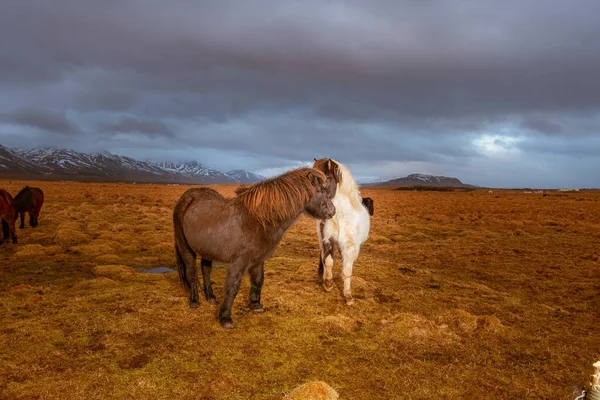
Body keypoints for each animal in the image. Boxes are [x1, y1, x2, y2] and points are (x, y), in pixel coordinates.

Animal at [172, 166, 338, 328]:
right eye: (322, 191)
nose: (333, 211)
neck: (259, 220)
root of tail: (187, 197)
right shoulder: (239, 261)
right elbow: (233, 286)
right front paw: (225, 318)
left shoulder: (258, 258)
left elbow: (259, 280)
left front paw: (255, 305)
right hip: (185, 247)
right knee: (191, 273)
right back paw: (194, 301)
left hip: (207, 249)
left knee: (206, 269)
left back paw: (211, 297)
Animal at [314, 158, 370, 304]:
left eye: (327, 178)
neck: (341, 217)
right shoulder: (328, 240)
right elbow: (328, 262)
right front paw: (328, 283)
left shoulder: (350, 247)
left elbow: (347, 269)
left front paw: (348, 296)